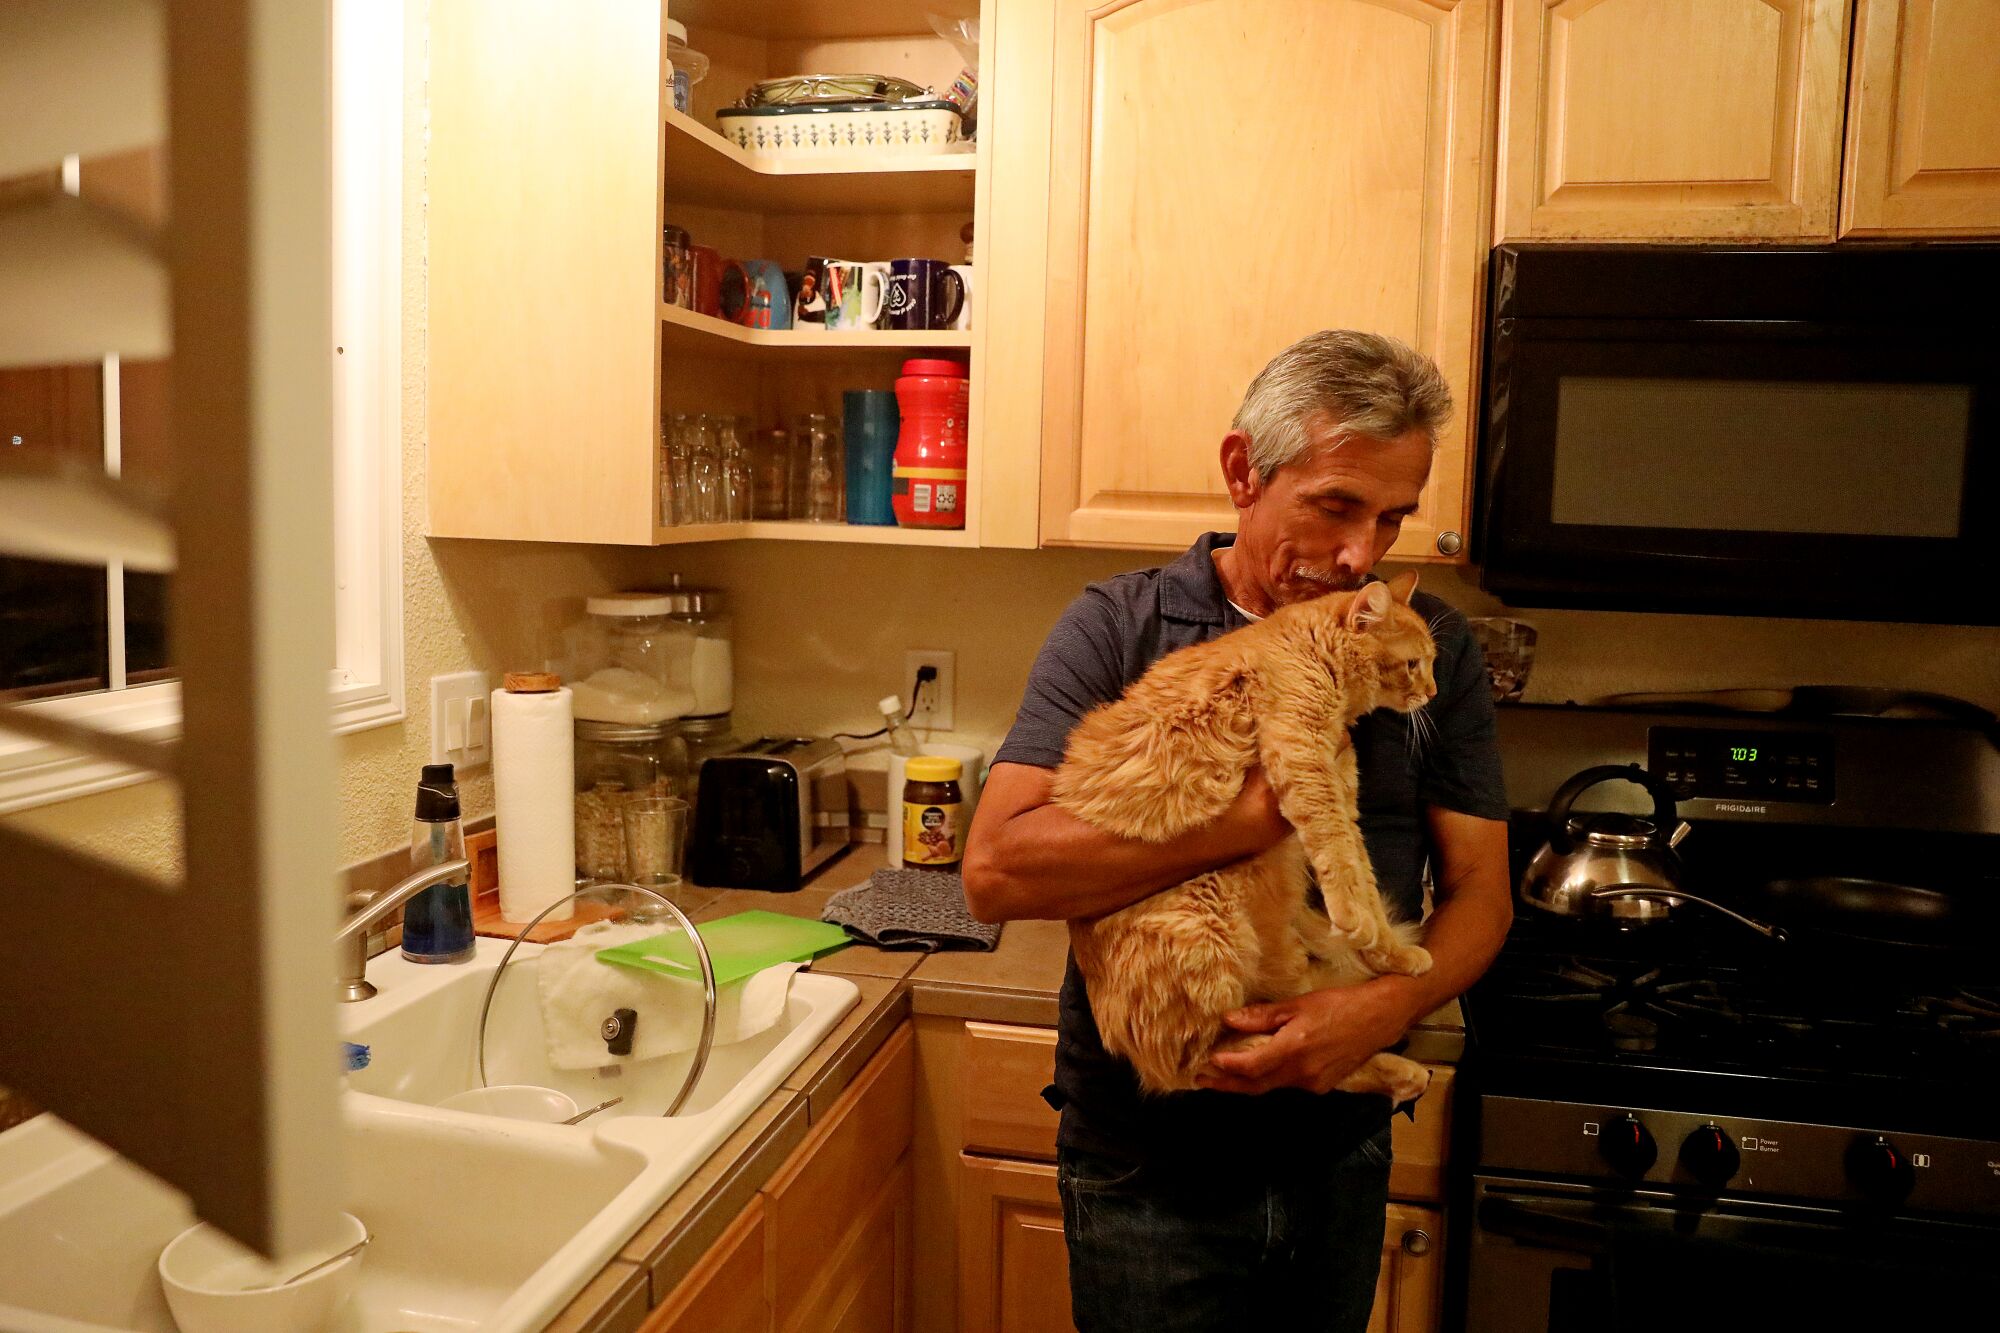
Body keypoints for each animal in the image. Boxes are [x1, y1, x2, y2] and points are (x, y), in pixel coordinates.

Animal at [1064, 572, 1440, 1096]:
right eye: (1413, 664)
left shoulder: (1343, 788)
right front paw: (1358, 922)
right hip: (1206, 936)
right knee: (1202, 1062)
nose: (1433, 691)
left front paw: (1391, 954)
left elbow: (1359, 870)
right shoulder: (1304, 756)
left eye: (1431, 662)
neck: (1306, 648)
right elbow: (1338, 854)